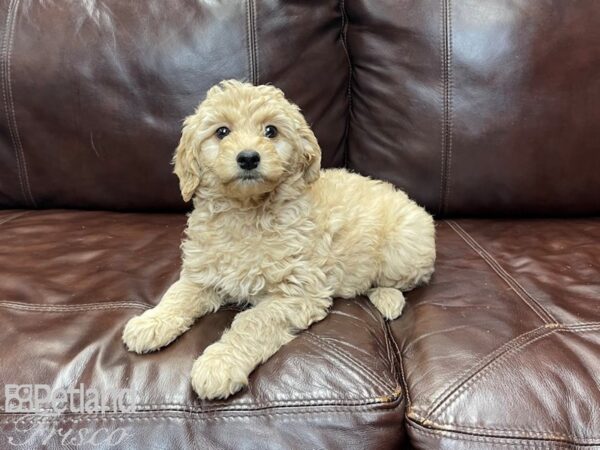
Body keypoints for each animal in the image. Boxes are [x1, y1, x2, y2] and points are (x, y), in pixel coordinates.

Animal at [122, 79, 434, 400]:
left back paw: (388, 298)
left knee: (403, 281)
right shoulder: (203, 274)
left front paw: (219, 364)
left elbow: (253, 322)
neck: (247, 213)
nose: (248, 158)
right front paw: (151, 323)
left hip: (402, 250)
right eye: (222, 132)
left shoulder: (298, 293)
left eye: (271, 131)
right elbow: (178, 294)